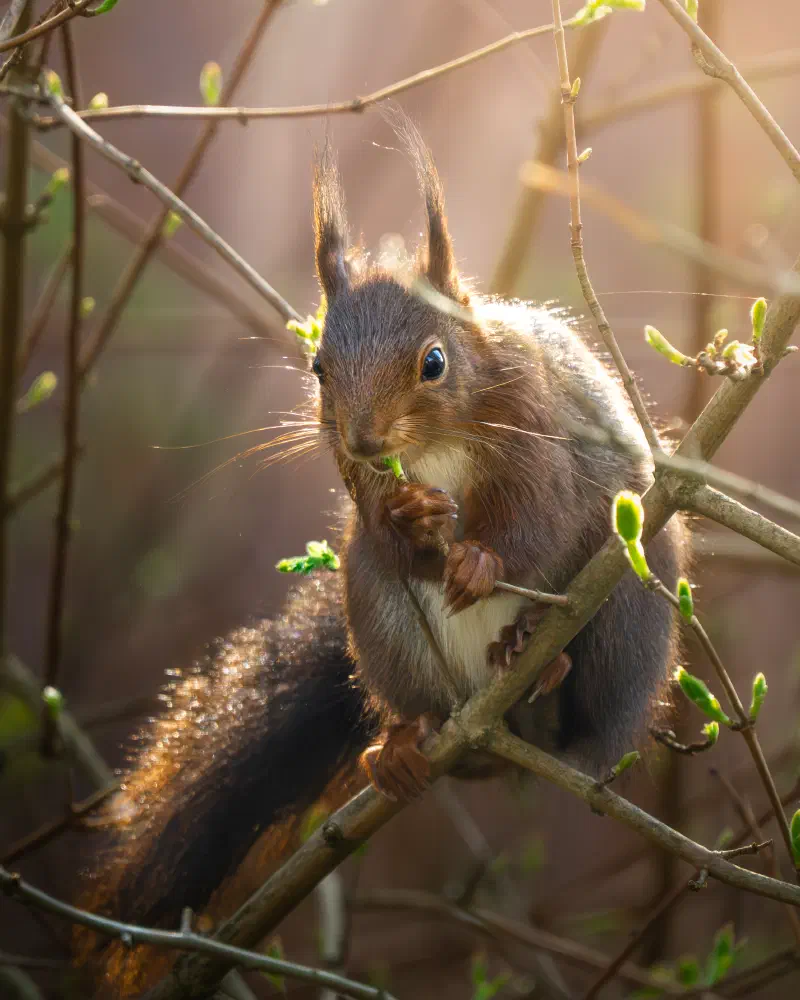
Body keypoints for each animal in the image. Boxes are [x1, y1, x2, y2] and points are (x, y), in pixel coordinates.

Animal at [78, 119, 685, 989]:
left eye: (433, 362)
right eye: (317, 367)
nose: (367, 437)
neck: (431, 447)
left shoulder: (544, 437)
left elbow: (539, 518)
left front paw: (480, 563)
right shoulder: (354, 481)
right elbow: (381, 525)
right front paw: (408, 521)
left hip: (628, 611)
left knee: (574, 712)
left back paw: (540, 666)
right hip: (379, 619)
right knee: (420, 689)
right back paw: (402, 745)